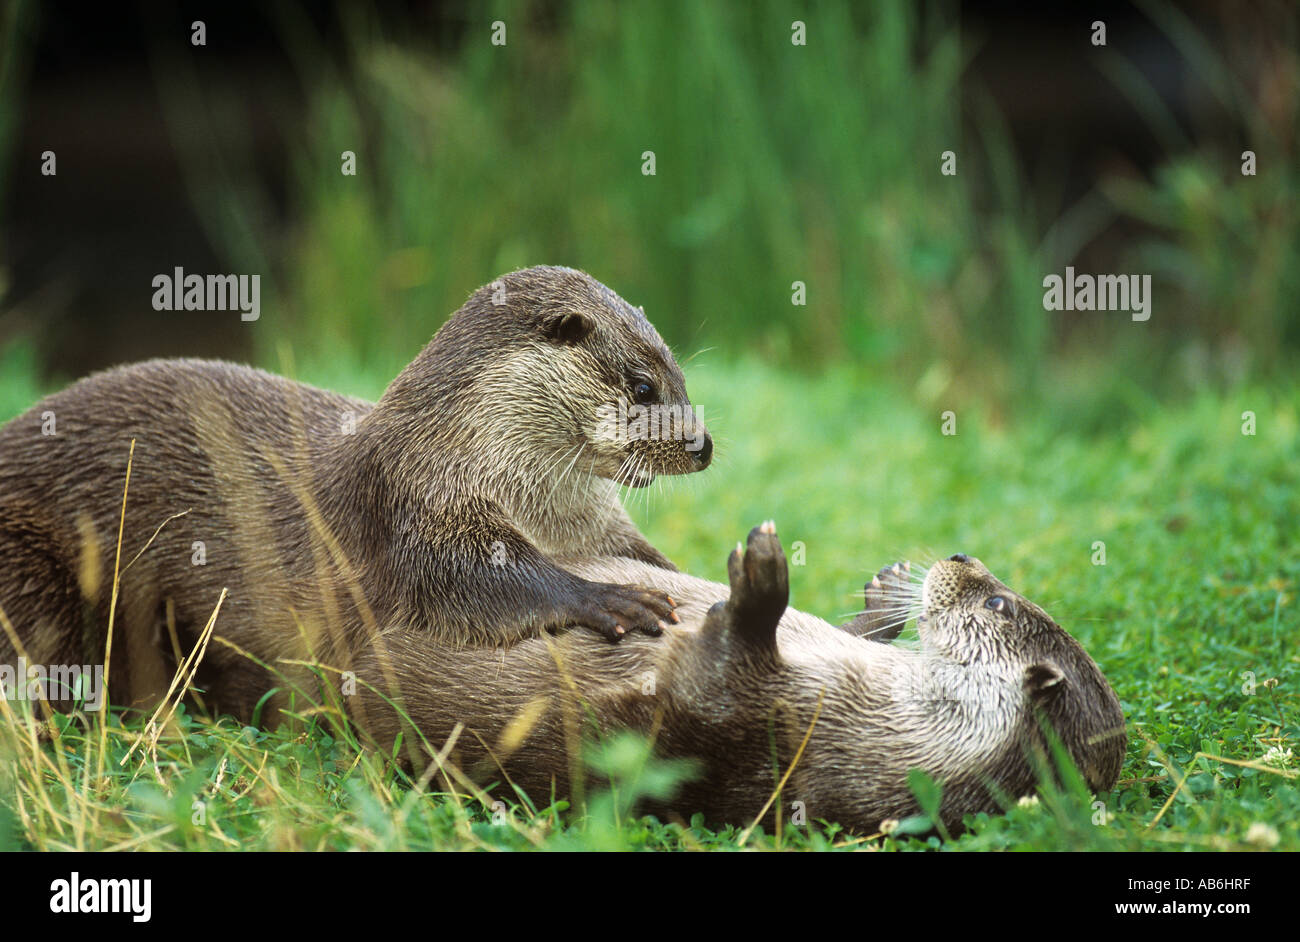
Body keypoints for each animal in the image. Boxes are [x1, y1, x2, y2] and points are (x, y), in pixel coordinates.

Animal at [0, 266, 711, 715]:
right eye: (644, 387)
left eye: (680, 374)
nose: (702, 445)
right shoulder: (418, 500)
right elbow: (472, 582)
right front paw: (614, 598)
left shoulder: (594, 523)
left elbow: (638, 551)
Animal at [353, 524, 1127, 833]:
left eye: (998, 605)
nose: (963, 557)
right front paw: (883, 597)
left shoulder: (768, 734)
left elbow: (706, 689)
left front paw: (760, 584)